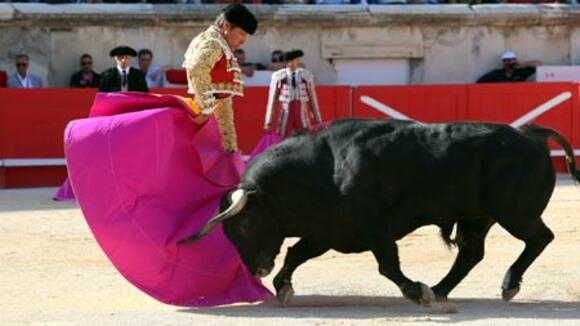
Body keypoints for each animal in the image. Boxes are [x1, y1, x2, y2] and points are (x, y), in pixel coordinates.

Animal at [179, 119, 576, 306]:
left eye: (245, 224)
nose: (258, 269)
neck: (322, 168)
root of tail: (530, 133)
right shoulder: (328, 232)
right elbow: (295, 253)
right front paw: (283, 287)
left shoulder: (375, 229)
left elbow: (387, 265)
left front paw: (415, 292)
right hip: (478, 217)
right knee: (472, 253)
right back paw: (442, 289)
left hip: (515, 213)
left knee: (540, 238)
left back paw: (505, 284)